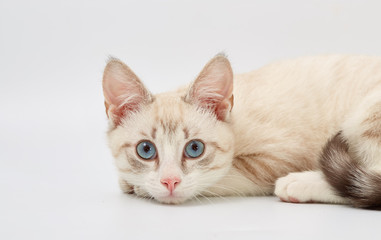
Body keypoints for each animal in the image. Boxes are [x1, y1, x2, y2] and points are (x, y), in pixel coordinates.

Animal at [101, 54, 380, 208]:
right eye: (146, 150)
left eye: (195, 148)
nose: (170, 181)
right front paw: (133, 182)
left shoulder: (275, 159)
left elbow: (220, 177)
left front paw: (138, 187)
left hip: (366, 116)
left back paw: (298, 184)